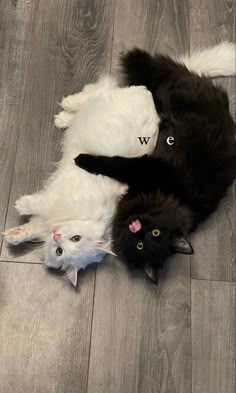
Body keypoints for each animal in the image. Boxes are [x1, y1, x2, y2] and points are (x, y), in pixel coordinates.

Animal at [4, 76, 160, 284]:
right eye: (76, 238)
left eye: (60, 251)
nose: (56, 235)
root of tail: (149, 96)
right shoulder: (60, 196)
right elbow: (42, 202)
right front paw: (21, 205)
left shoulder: (46, 219)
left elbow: (32, 227)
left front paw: (13, 236)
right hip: (107, 100)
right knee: (95, 91)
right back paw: (66, 109)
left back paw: (63, 118)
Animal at [74, 47, 235, 284]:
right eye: (155, 233)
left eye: (142, 244)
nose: (137, 229)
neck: (174, 198)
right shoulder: (150, 167)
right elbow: (113, 161)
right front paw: (81, 159)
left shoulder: (142, 170)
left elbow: (114, 163)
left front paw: (83, 159)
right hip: (164, 94)